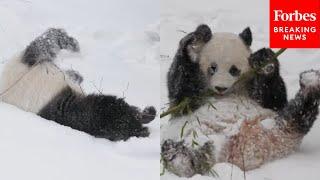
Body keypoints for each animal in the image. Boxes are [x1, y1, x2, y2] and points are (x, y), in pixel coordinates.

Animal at [161, 24, 320, 177]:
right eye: (212, 67)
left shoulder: (258, 92)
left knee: (297, 116)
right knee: (184, 159)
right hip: (189, 138)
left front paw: (265, 62)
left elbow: (275, 99)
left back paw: (310, 82)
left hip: (276, 128)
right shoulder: (190, 100)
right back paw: (188, 154)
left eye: (234, 70)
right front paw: (194, 43)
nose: (220, 88)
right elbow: (180, 87)